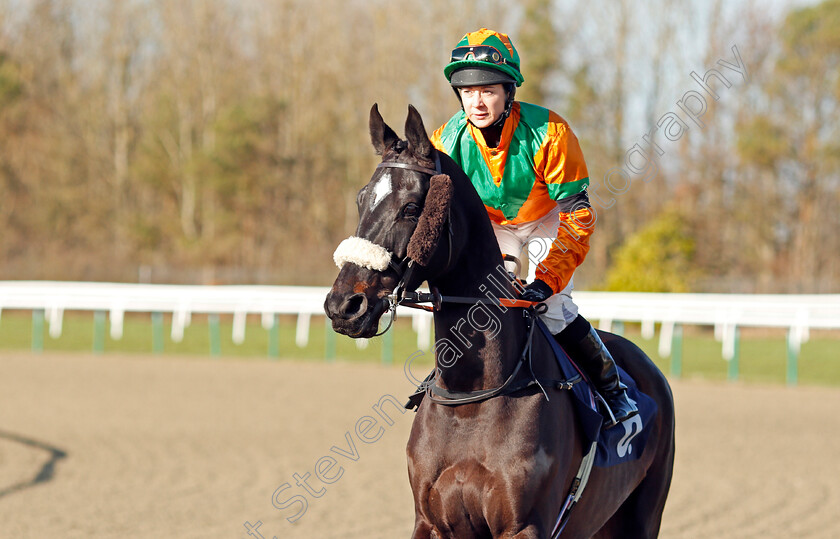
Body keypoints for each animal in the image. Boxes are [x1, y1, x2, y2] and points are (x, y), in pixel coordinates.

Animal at [324, 103, 676, 536]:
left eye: (410, 207)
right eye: (361, 201)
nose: (344, 305)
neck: (471, 399)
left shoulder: (524, 526)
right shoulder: (430, 522)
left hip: (645, 514)